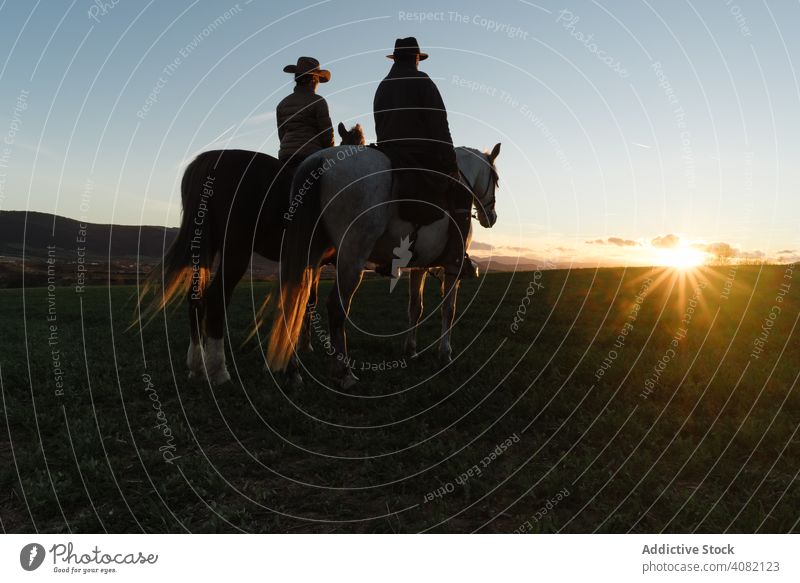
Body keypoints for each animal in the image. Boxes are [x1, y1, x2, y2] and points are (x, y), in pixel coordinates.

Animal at [139, 122, 364, 384]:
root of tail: (211, 160)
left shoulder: (312, 262)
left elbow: (307, 300)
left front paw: (302, 349)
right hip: (237, 250)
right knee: (216, 298)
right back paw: (219, 370)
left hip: (203, 247)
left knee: (195, 298)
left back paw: (197, 367)